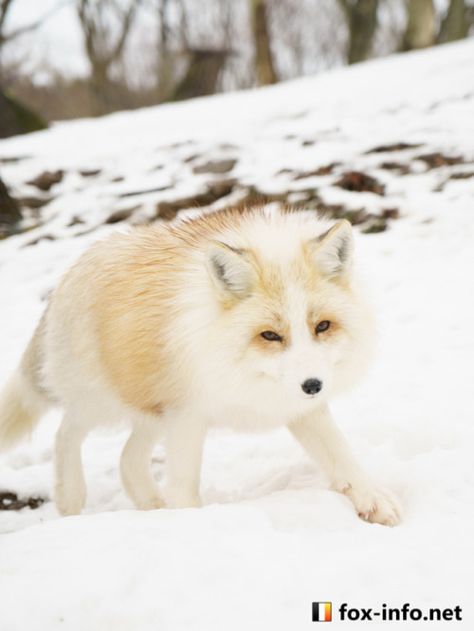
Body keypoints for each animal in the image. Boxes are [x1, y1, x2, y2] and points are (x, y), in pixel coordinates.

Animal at [0, 207, 400, 524]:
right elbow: (184, 492)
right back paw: (70, 498)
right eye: (270, 335)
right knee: (66, 432)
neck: (240, 373)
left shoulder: (299, 409)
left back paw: (151, 508)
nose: (314, 385)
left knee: (127, 460)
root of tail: (73, 270)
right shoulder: (188, 418)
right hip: (103, 403)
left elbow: (342, 457)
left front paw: (372, 499)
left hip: (151, 415)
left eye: (322, 326)